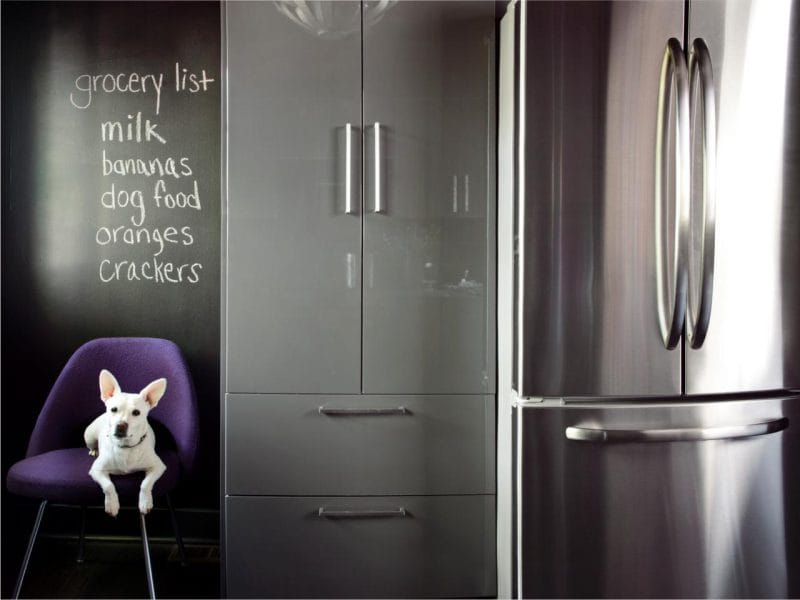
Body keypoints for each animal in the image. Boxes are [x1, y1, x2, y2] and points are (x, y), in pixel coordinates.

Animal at [84, 370, 167, 516]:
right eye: (113, 409)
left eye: (136, 412)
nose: (121, 425)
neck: (126, 447)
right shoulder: (96, 470)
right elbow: (108, 485)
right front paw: (112, 504)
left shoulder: (158, 467)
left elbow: (145, 484)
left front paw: (145, 502)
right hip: (89, 435)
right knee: (91, 444)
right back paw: (94, 450)